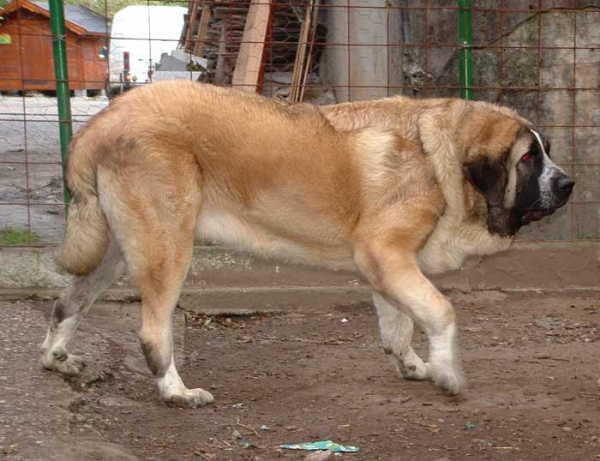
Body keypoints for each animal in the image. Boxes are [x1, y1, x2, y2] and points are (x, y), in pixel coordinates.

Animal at [39, 80, 576, 406]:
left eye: (544, 151)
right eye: (528, 158)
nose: (569, 183)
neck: (439, 153)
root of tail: (102, 120)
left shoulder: (386, 265)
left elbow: (399, 325)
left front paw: (412, 366)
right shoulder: (385, 254)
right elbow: (440, 312)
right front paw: (447, 373)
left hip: (118, 251)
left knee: (68, 302)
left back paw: (57, 359)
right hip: (167, 248)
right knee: (153, 332)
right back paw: (176, 393)